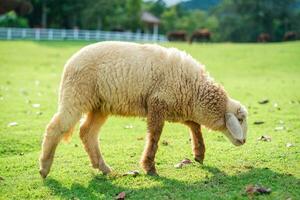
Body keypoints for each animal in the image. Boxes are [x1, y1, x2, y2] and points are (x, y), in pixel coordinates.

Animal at [38, 41, 247, 178]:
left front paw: (199, 154)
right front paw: (149, 167)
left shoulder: (177, 106)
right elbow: (155, 135)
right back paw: (44, 168)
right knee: (55, 127)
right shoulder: (158, 103)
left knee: (87, 132)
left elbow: (194, 125)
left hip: (100, 105)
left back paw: (103, 167)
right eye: (241, 119)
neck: (195, 92)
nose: (244, 141)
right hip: (75, 95)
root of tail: (70, 62)